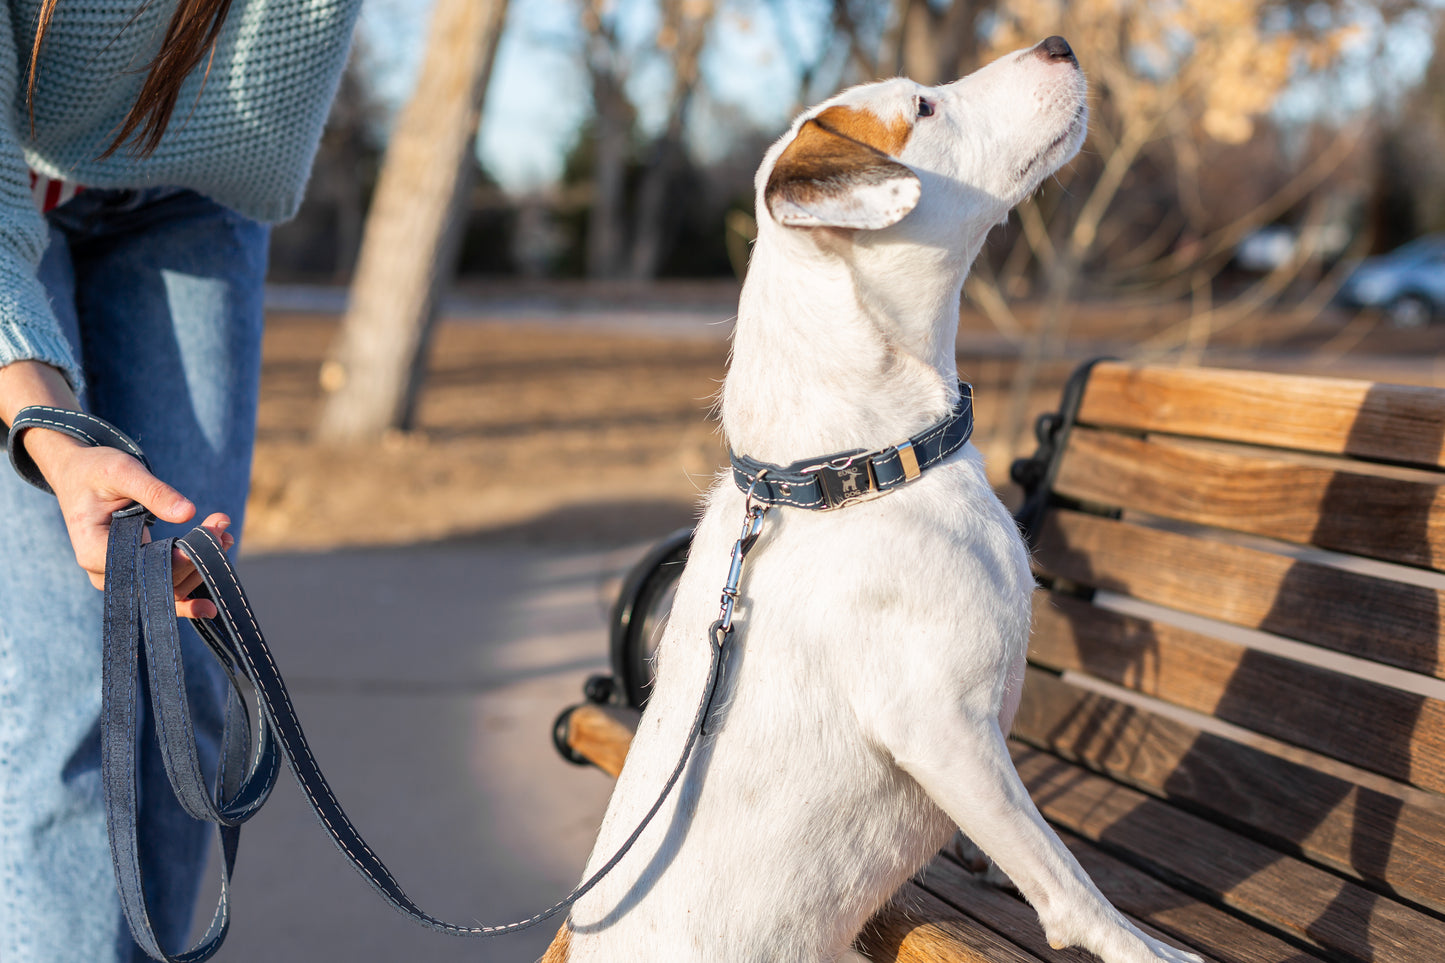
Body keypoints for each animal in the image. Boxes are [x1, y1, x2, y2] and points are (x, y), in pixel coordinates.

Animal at [546, 37, 1202, 960]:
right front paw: (1135, 942)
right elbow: (1063, 874)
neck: (849, 470)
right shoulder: (942, 724)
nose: (1058, 43)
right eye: (922, 108)